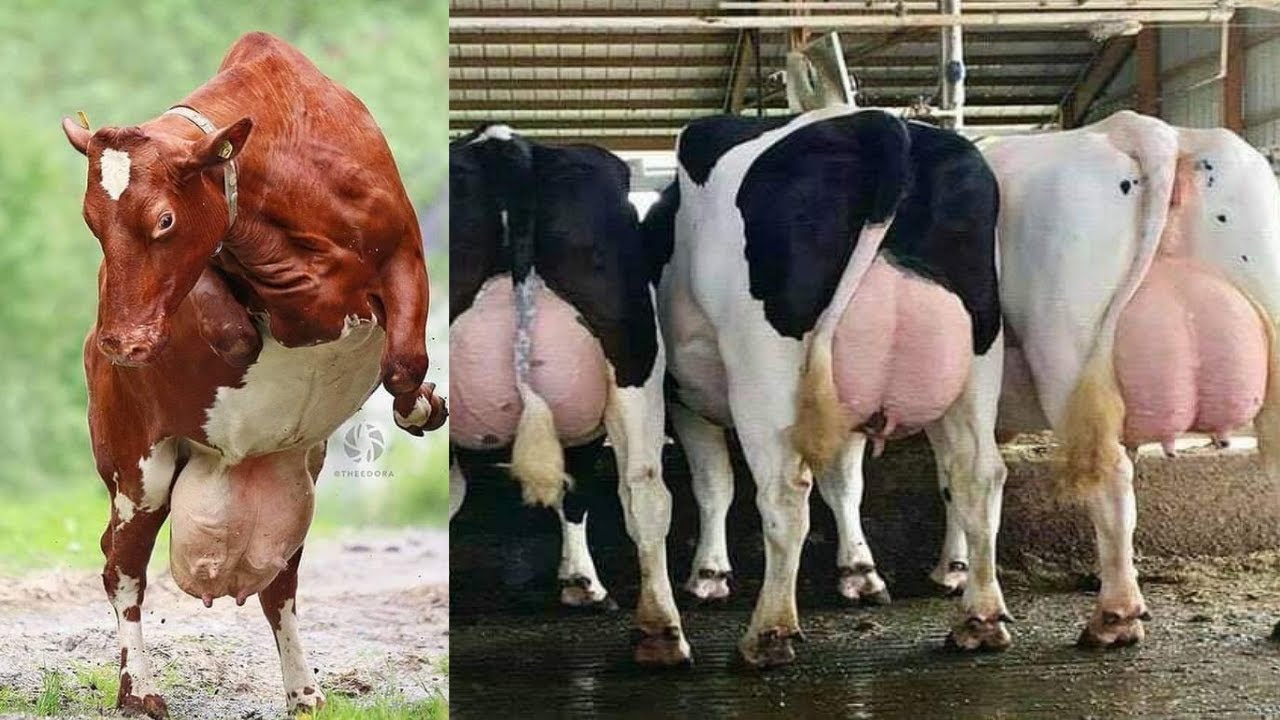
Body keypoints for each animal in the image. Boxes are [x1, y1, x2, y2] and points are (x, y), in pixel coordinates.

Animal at [60, 32, 446, 717]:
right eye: (92, 221)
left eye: (164, 220)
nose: (121, 343)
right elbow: (232, 324)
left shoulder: (404, 251)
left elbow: (405, 367)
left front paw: (425, 403)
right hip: (136, 464)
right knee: (120, 567)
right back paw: (140, 689)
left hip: (299, 474)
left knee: (279, 583)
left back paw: (304, 691)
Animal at [449, 125, 688, 664]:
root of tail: (504, 143)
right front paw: (582, 582)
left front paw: (579, 580)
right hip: (636, 360)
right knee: (645, 490)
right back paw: (662, 632)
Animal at [647, 105, 1007, 666]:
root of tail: (877, 121)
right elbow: (846, 483)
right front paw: (859, 573)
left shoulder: (685, 399)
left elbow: (714, 484)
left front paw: (708, 575)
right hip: (979, 356)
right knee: (978, 475)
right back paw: (981, 620)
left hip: (763, 367)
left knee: (783, 493)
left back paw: (768, 634)